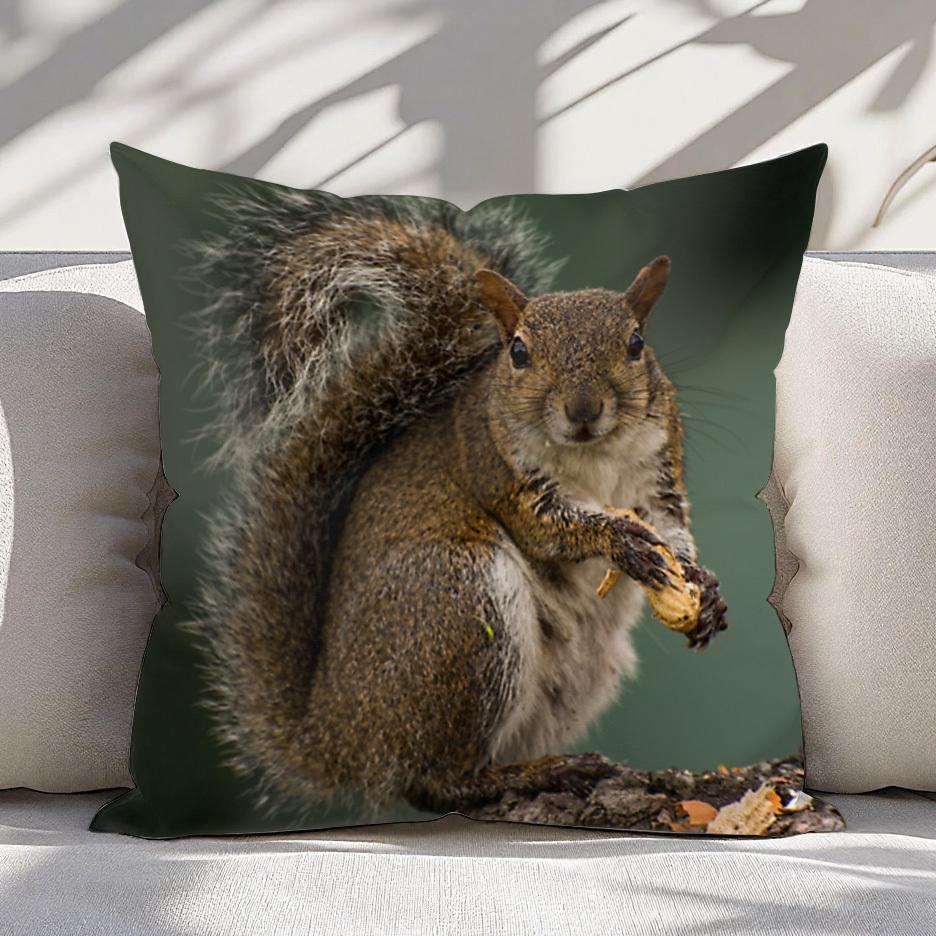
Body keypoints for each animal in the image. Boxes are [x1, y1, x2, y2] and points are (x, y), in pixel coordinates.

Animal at [190, 191, 728, 816]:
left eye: (636, 344)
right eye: (518, 351)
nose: (583, 409)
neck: (593, 457)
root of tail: (335, 738)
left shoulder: (658, 478)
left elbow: (673, 526)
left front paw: (703, 588)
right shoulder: (498, 468)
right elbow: (552, 529)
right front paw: (617, 541)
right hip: (460, 607)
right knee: (433, 780)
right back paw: (532, 775)